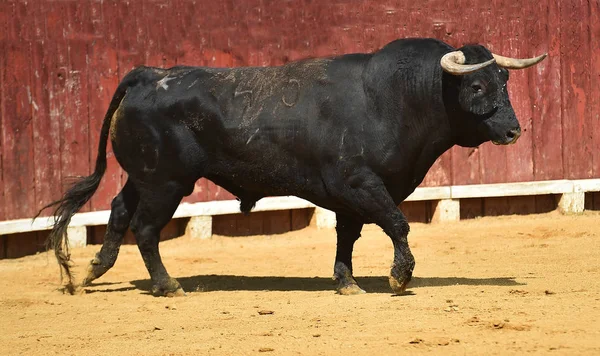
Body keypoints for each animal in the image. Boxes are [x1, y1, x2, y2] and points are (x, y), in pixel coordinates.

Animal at [39, 37, 548, 296]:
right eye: (478, 87)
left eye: (504, 81)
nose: (513, 131)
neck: (395, 99)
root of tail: (149, 74)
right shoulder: (361, 184)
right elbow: (398, 223)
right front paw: (399, 277)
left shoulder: (351, 195)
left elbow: (348, 236)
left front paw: (346, 283)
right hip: (167, 182)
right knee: (145, 227)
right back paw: (167, 286)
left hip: (143, 176)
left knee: (119, 210)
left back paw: (91, 273)